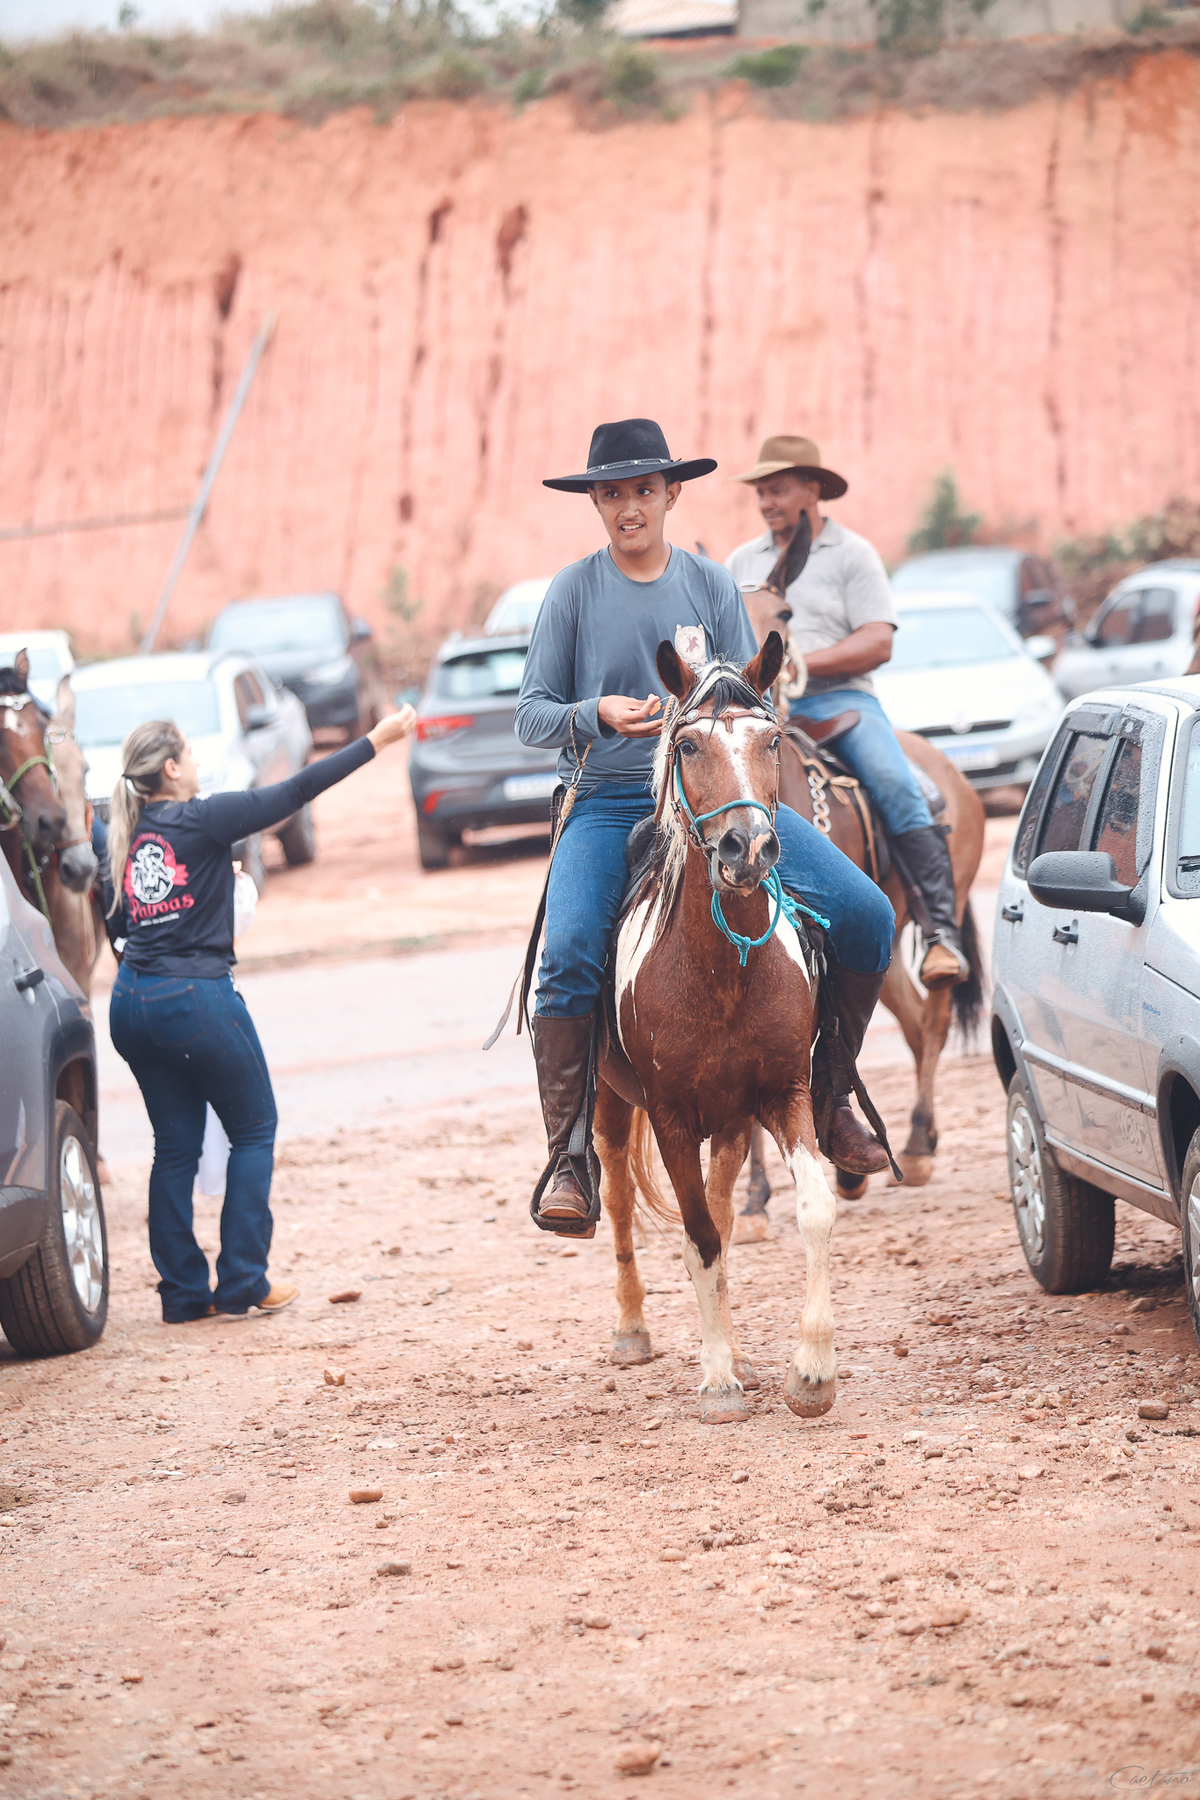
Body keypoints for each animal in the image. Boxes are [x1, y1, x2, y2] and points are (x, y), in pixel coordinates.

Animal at [594, 632, 841, 1423]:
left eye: (772, 739)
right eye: (688, 744)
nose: (747, 848)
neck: (724, 971)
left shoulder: (784, 1093)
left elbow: (812, 1207)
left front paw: (810, 1372)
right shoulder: (671, 1117)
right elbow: (697, 1236)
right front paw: (719, 1382)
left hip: (731, 1121)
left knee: (727, 1208)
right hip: (611, 1105)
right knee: (619, 1195)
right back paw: (632, 1327)